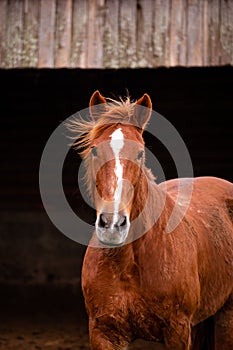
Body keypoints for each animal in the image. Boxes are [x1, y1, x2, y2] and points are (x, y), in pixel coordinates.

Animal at [70, 91, 233, 350]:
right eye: (95, 150)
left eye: (140, 153)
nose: (113, 224)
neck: (128, 264)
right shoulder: (104, 332)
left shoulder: (178, 331)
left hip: (227, 316)